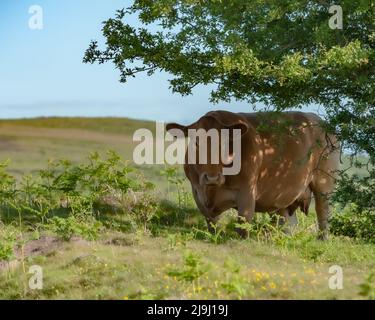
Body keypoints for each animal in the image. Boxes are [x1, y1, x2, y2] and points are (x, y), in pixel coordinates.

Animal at [167, 110, 340, 238]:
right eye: (196, 142)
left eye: (226, 142)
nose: (212, 177)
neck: (212, 190)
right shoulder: (197, 191)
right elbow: (211, 223)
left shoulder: (247, 192)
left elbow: (243, 225)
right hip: (282, 195)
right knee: (287, 221)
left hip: (324, 183)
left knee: (323, 212)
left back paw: (322, 239)